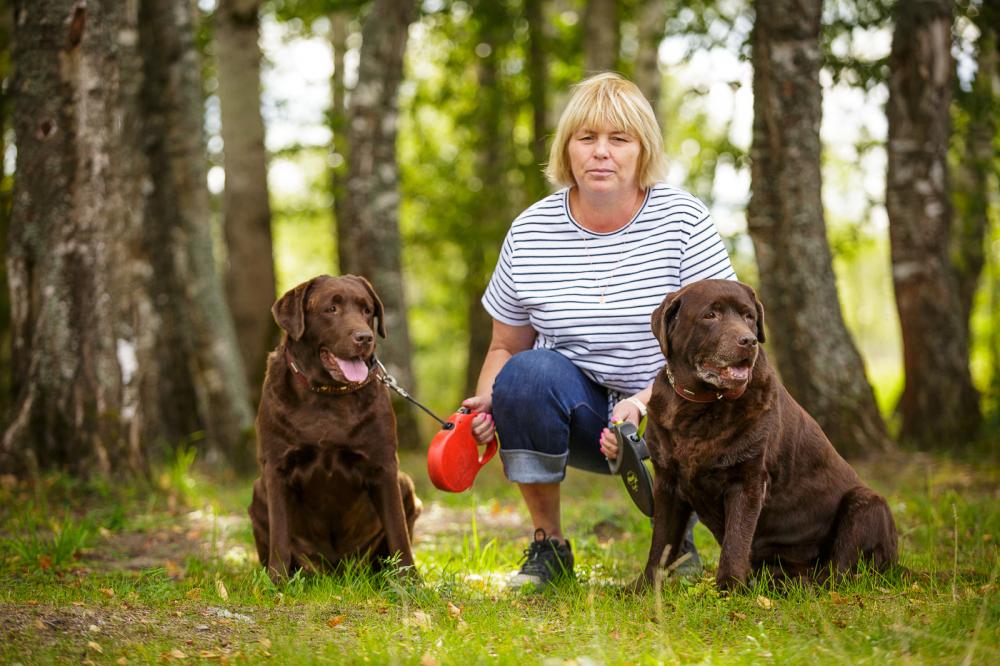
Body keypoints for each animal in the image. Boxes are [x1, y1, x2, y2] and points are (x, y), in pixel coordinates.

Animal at [252, 272, 424, 580]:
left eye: (367, 310)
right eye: (331, 309)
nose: (365, 337)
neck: (327, 394)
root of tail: (336, 573)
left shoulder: (384, 466)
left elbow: (398, 532)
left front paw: (410, 582)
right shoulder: (276, 468)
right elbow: (280, 535)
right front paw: (276, 582)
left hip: (405, 483)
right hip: (258, 491)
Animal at [640, 278, 900, 588]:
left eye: (748, 316)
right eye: (710, 315)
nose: (748, 341)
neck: (700, 405)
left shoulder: (747, 479)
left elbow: (736, 540)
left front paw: (729, 587)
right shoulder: (667, 483)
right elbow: (661, 544)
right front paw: (642, 588)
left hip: (867, 503)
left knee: (839, 573)